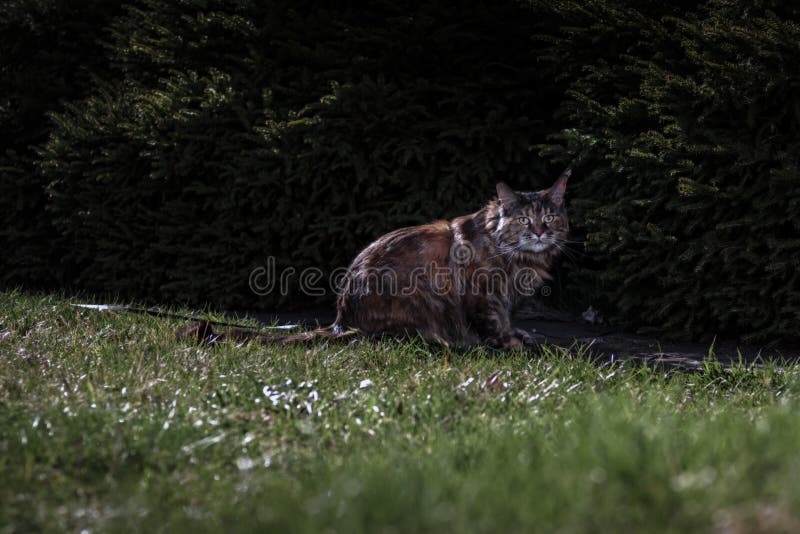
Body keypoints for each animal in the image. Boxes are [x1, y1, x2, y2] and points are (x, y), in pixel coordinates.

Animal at [181, 170, 568, 350]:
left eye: (549, 217)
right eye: (523, 219)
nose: (539, 231)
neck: (518, 258)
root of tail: (342, 320)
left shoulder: (505, 301)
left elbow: (507, 322)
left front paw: (520, 336)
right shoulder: (484, 295)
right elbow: (493, 326)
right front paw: (513, 346)